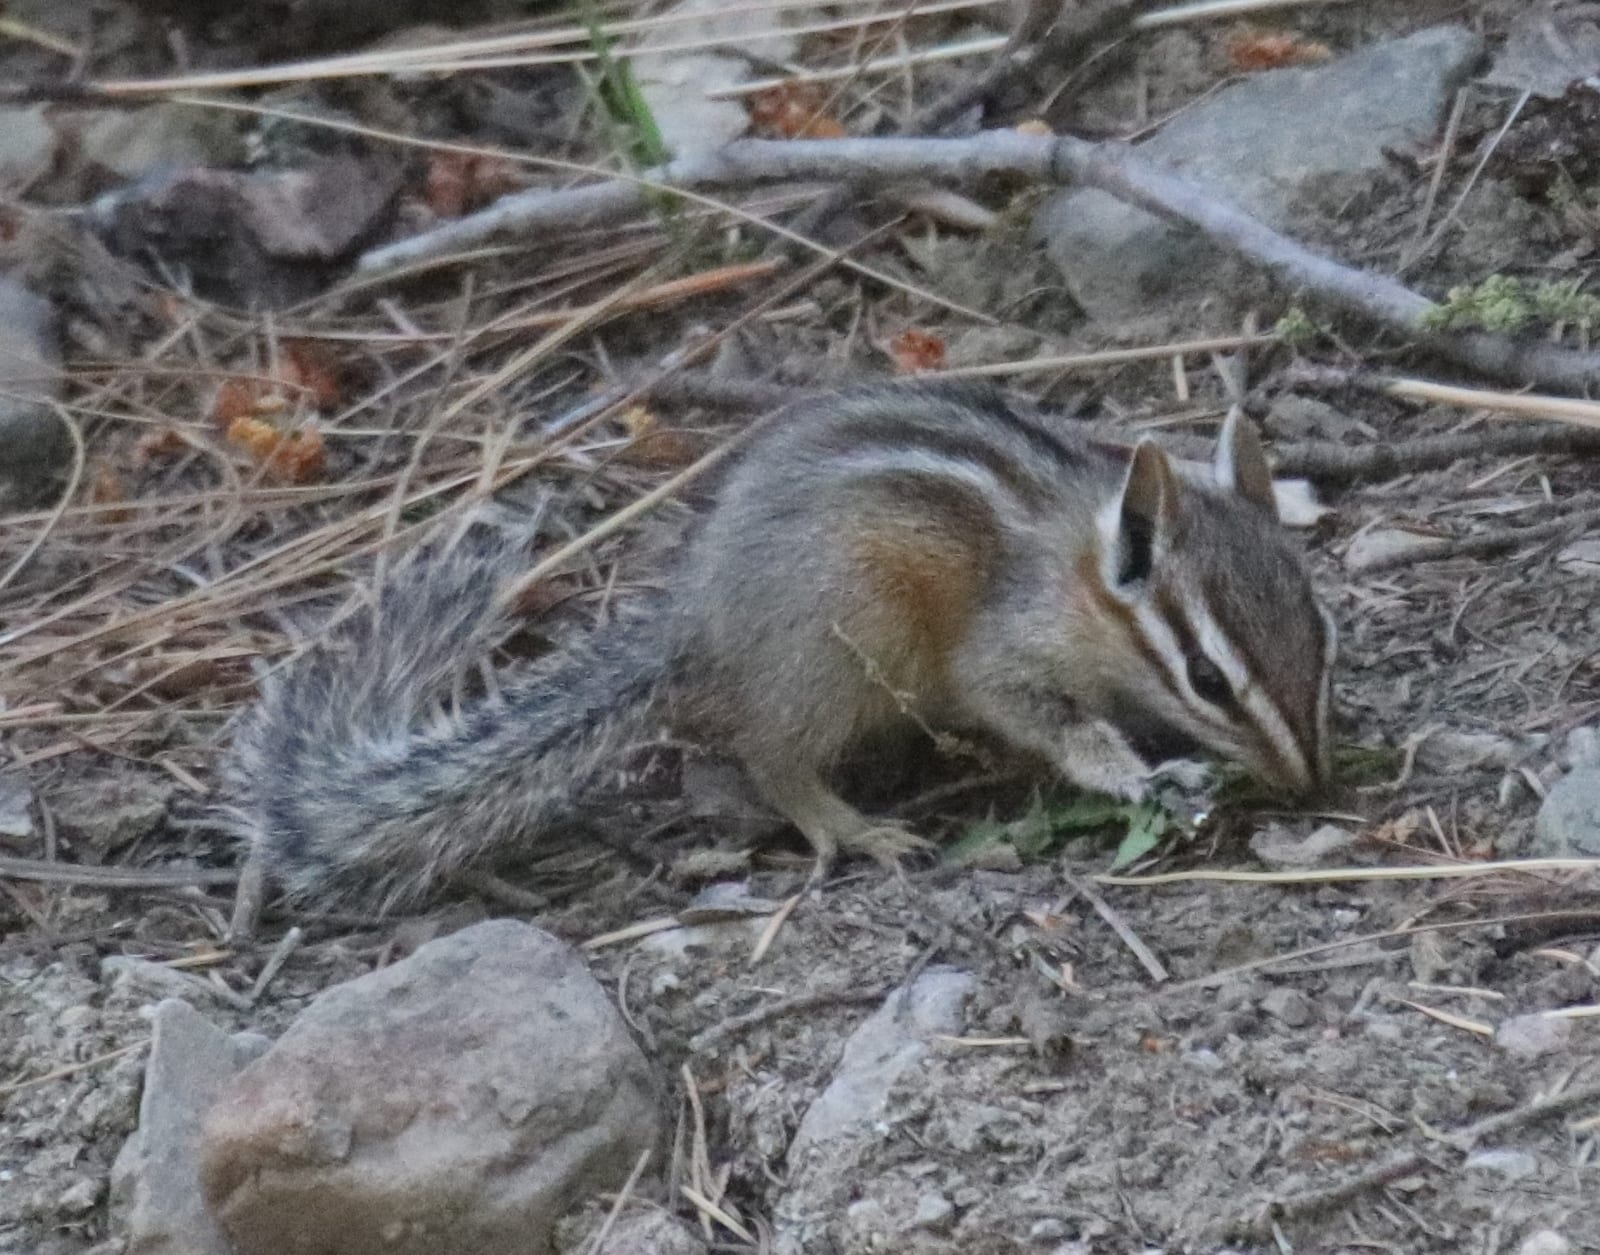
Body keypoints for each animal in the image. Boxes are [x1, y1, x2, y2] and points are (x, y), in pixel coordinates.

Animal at [224, 379, 1337, 916]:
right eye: (1208, 677)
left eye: (1320, 631)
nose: (1309, 781)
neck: (1081, 576)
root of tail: (697, 628)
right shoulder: (1007, 654)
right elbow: (1050, 721)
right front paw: (1143, 774)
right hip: (841, 645)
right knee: (773, 757)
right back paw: (853, 826)